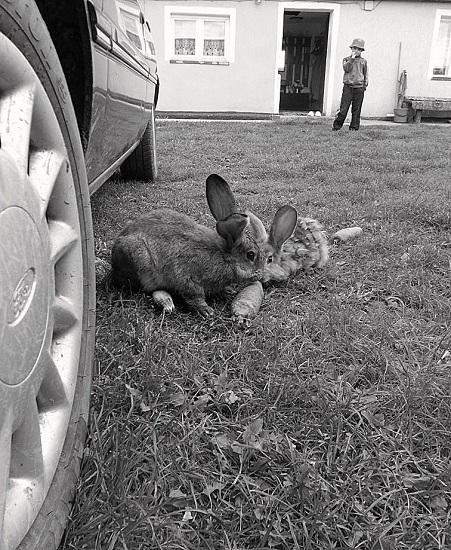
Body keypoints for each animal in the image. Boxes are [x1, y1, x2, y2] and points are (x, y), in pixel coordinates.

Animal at [111, 175, 298, 316]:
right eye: (250, 255)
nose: (260, 274)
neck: (224, 258)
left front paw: (228, 292)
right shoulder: (187, 278)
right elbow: (194, 295)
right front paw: (206, 310)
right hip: (139, 259)